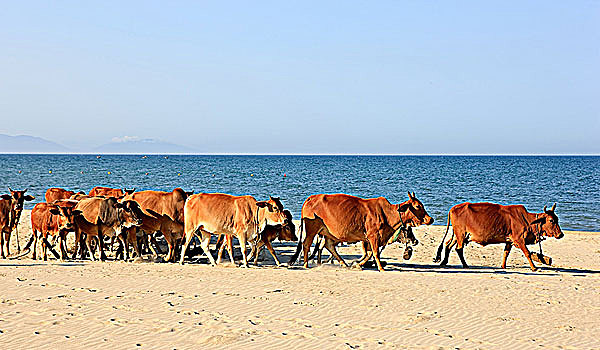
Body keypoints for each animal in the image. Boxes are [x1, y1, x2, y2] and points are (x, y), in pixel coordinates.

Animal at [290, 191, 434, 270]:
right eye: (417, 206)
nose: (430, 219)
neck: (387, 214)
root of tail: (310, 198)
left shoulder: (369, 239)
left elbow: (369, 254)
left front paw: (357, 264)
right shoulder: (373, 236)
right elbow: (375, 253)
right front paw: (380, 268)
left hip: (329, 233)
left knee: (329, 246)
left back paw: (343, 263)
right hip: (312, 229)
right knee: (306, 244)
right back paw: (306, 264)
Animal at [434, 201, 564, 272]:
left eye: (557, 219)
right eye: (551, 220)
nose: (561, 234)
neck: (527, 221)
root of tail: (453, 208)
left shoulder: (509, 241)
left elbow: (506, 253)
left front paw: (503, 266)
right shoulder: (519, 239)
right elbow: (527, 253)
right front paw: (534, 268)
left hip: (458, 235)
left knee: (448, 245)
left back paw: (444, 262)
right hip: (461, 234)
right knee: (458, 249)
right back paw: (465, 265)